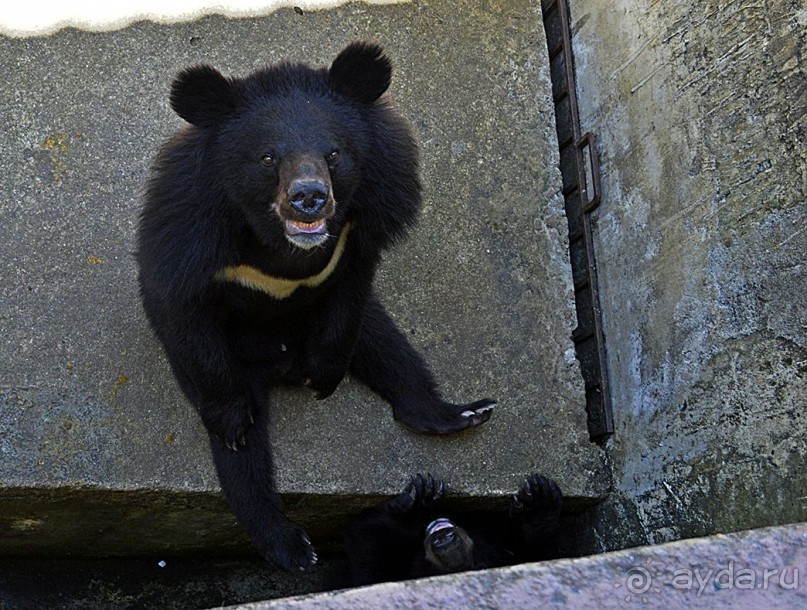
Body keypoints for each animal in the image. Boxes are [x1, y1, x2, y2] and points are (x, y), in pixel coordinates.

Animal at [136, 42, 496, 568]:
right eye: (268, 158)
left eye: (334, 154)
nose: (310, 197)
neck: (283, 250)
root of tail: (278, 361)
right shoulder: (187, 228)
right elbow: (180, 304)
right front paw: (233, 420)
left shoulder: (366, 219)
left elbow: (354, 279)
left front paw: (322, 378)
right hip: (228, 360)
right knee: (243, 460)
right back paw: (289, 544)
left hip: (351, 326)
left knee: (387, 349)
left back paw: (457, 414)